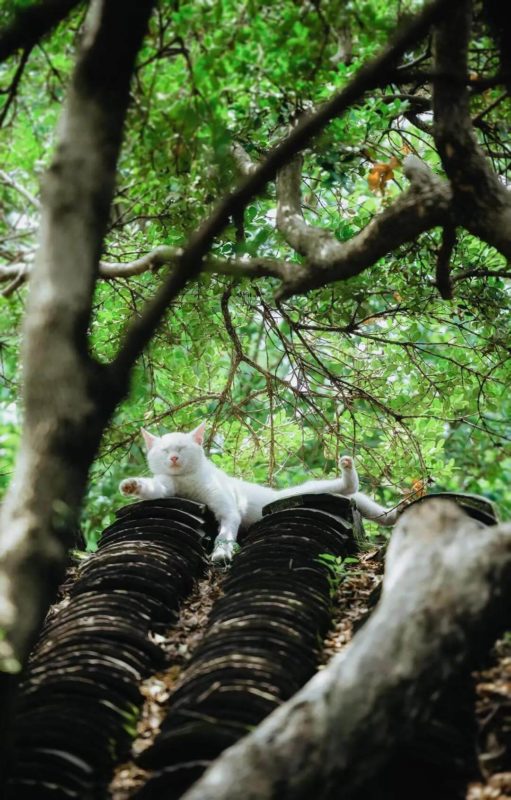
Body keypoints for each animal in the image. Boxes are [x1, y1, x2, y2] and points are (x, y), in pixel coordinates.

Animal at [121, 424, 404, 564]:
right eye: (164, 451)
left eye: (181, 448)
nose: (174, 458)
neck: (187, 480)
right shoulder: (168, 486)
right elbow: (155, 490)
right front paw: (131, 486)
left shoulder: (227, 506)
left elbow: (225, 531)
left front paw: (221, 552)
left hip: (300, 494)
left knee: (349, 489)